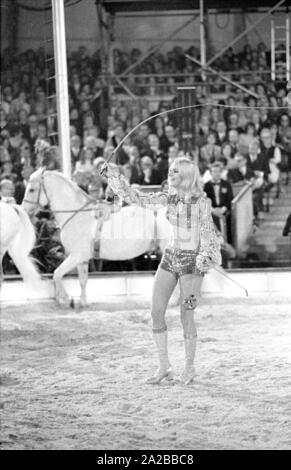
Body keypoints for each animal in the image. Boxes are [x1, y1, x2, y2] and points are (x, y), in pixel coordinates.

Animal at [22, 171, 169, 306]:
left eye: (31, 189)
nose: (24, 210)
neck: (78, 216)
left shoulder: (76, 256)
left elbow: (57, 274)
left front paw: (67, 300)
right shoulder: (82, 260)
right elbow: (82, 280)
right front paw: (83, 302)